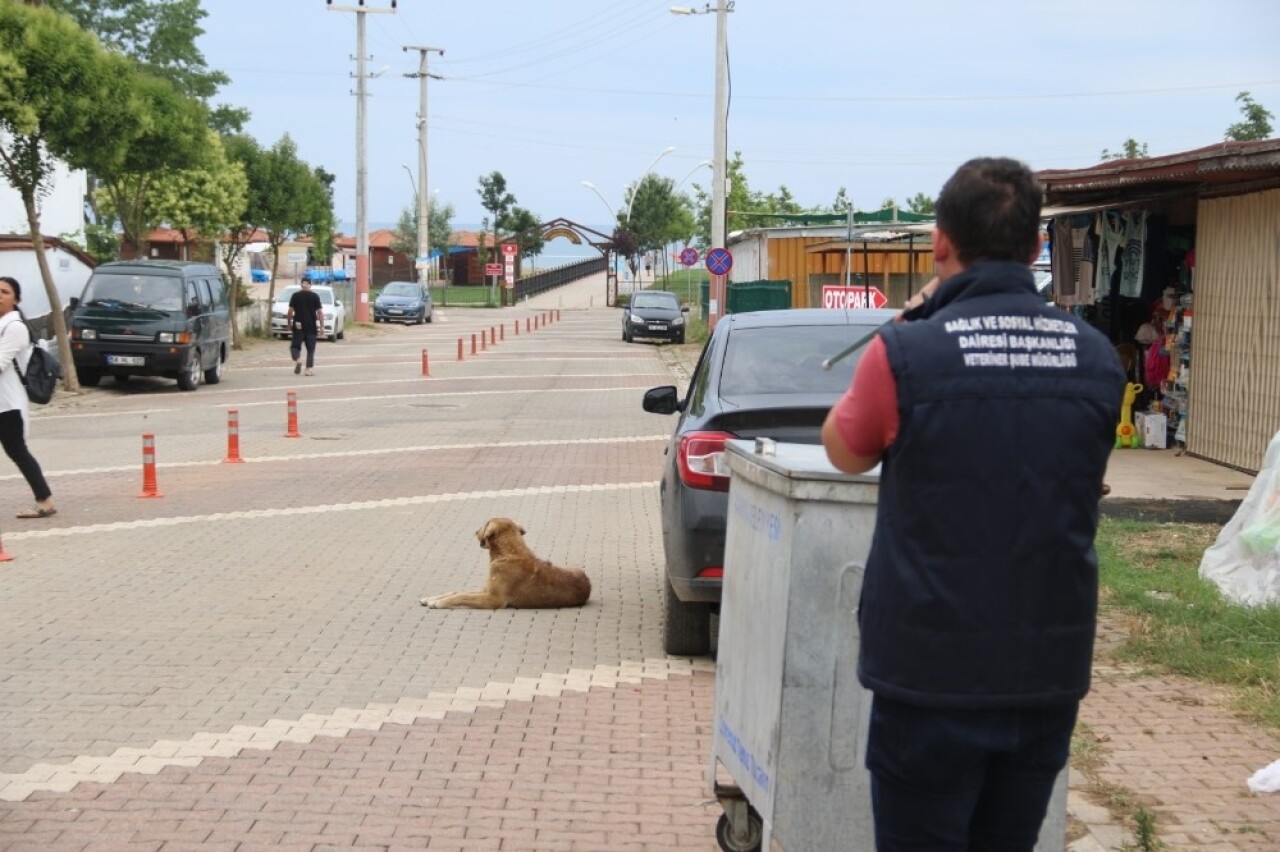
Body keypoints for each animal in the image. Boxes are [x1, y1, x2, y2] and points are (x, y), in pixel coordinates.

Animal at [424, 514, 593, 606]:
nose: (475, 531)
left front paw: (439, 602)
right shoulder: (486, 589)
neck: (508, 553)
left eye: (486, 524)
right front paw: (431, 598)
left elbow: (462, 596)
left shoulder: (493, 599)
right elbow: (457, 591)